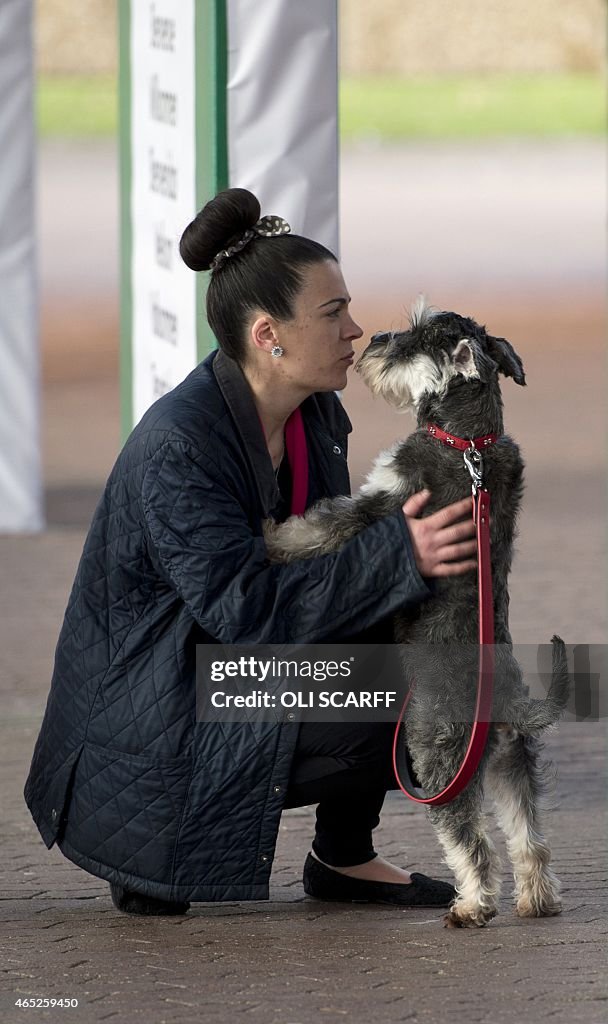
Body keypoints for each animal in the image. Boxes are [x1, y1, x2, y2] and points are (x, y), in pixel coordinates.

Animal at [264, 299, 569, 929]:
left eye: (418, 337)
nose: (376, 340)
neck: (468, 437)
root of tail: (508, 703)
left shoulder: (383, 503)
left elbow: (322, 526)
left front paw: (272, 536)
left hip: (437, 762)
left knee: (472, 843)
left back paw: (470, 907)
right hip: (511, 763)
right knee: (529, 837)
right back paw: (537, 900)